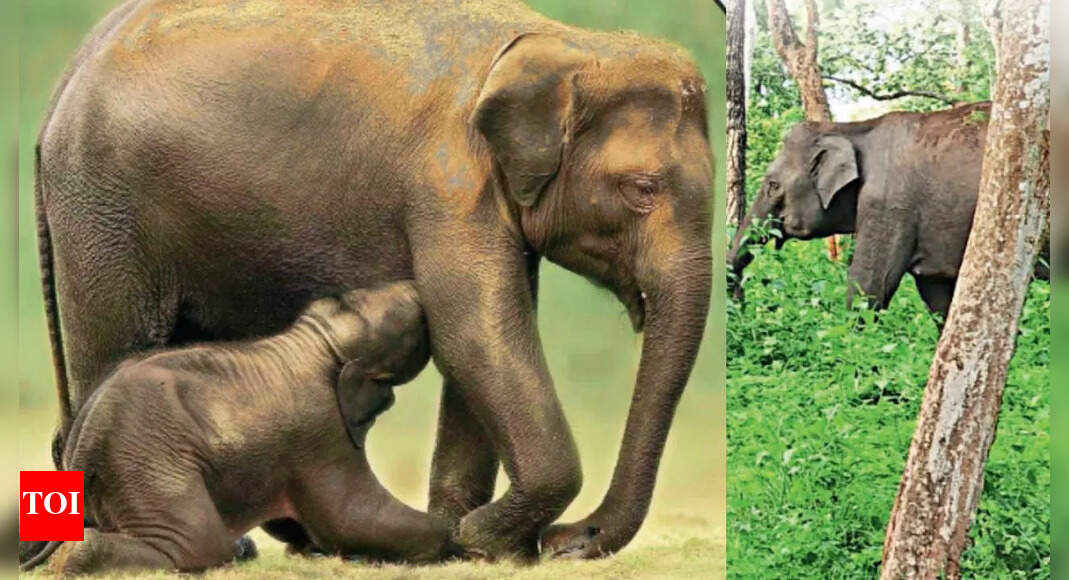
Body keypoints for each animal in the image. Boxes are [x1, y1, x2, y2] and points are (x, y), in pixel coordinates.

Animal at [20, 282, 459, 575]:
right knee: (198, 542)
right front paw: (457, 540)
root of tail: (83, 438)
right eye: (408, 326)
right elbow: (348, 515)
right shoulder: (320, 428)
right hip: (146, 462)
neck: (318, 343)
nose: (415, 287)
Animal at [728, 102, 1049, 322]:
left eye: (772, 185)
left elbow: (868, 287)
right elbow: (936, 294)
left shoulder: (889, 206)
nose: (742, 306)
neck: (852, 128)